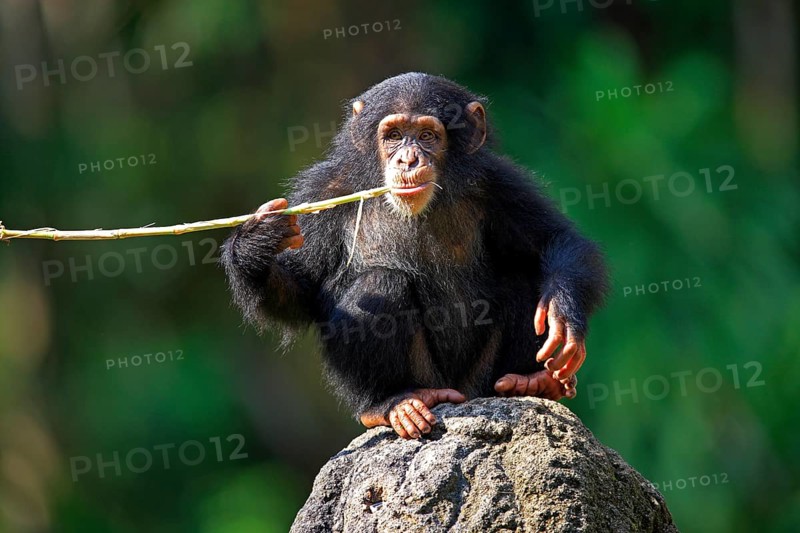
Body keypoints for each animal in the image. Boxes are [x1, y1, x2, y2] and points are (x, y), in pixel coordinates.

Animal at [221, 73, 609, 439]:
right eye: (393, 135)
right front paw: (257, 241)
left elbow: (556, 240)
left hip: (480, 381)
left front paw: (562, 313)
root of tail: (459, 394)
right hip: (428, 380)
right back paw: (390, 403)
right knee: (380, 284)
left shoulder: (498, 181)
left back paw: (531, 380)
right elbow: (302, 287)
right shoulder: (322, 193)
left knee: (522, 278)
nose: (408, 158)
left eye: (426, 135)